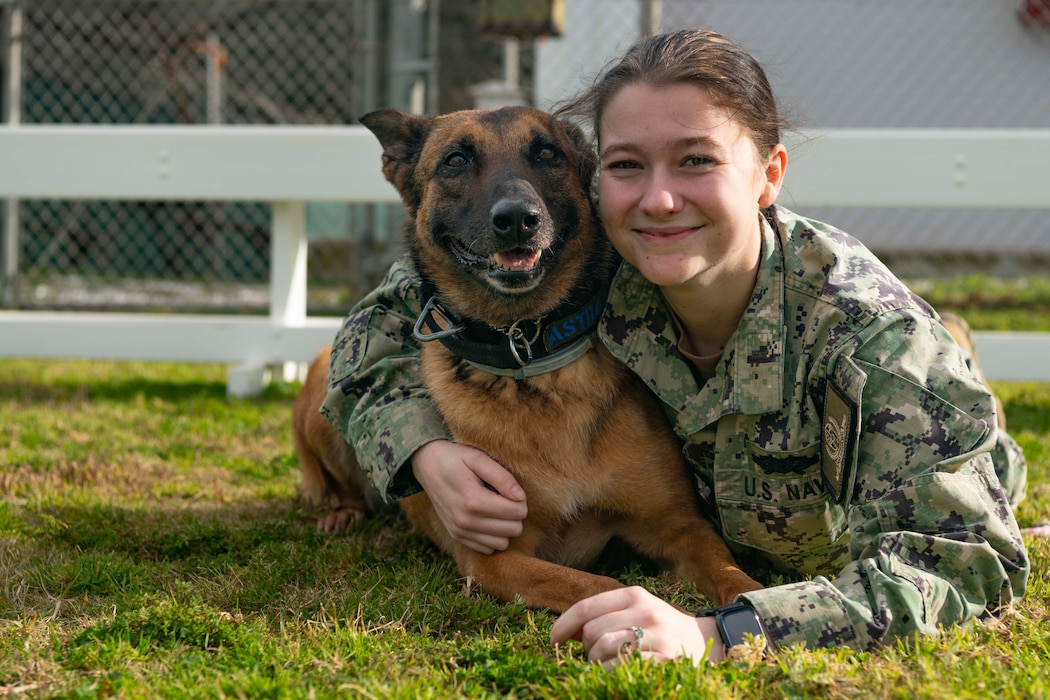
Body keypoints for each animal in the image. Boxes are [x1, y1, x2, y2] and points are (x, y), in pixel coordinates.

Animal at [291, 105, 760, 612]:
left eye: (547, 153)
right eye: (455, 160)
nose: (518, 218)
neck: (529, 360)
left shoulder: (682, 528)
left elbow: (732, 574)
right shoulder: (494, 560)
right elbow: (599, 587)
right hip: (320, 399)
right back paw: (341, 514)